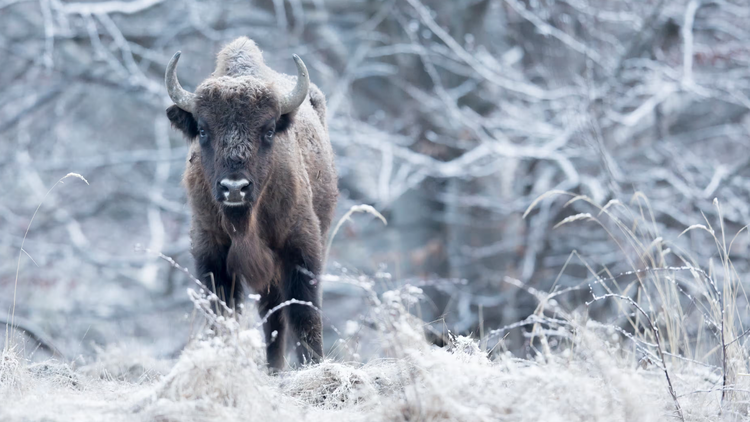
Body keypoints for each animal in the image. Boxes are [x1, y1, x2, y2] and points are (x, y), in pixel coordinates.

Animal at [164, 37, 338, 369]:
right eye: (203, 130)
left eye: (268, 131)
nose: (235, 188)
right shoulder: (212, 255)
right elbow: (223, 315)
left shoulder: (301, 248)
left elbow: (304, 314)